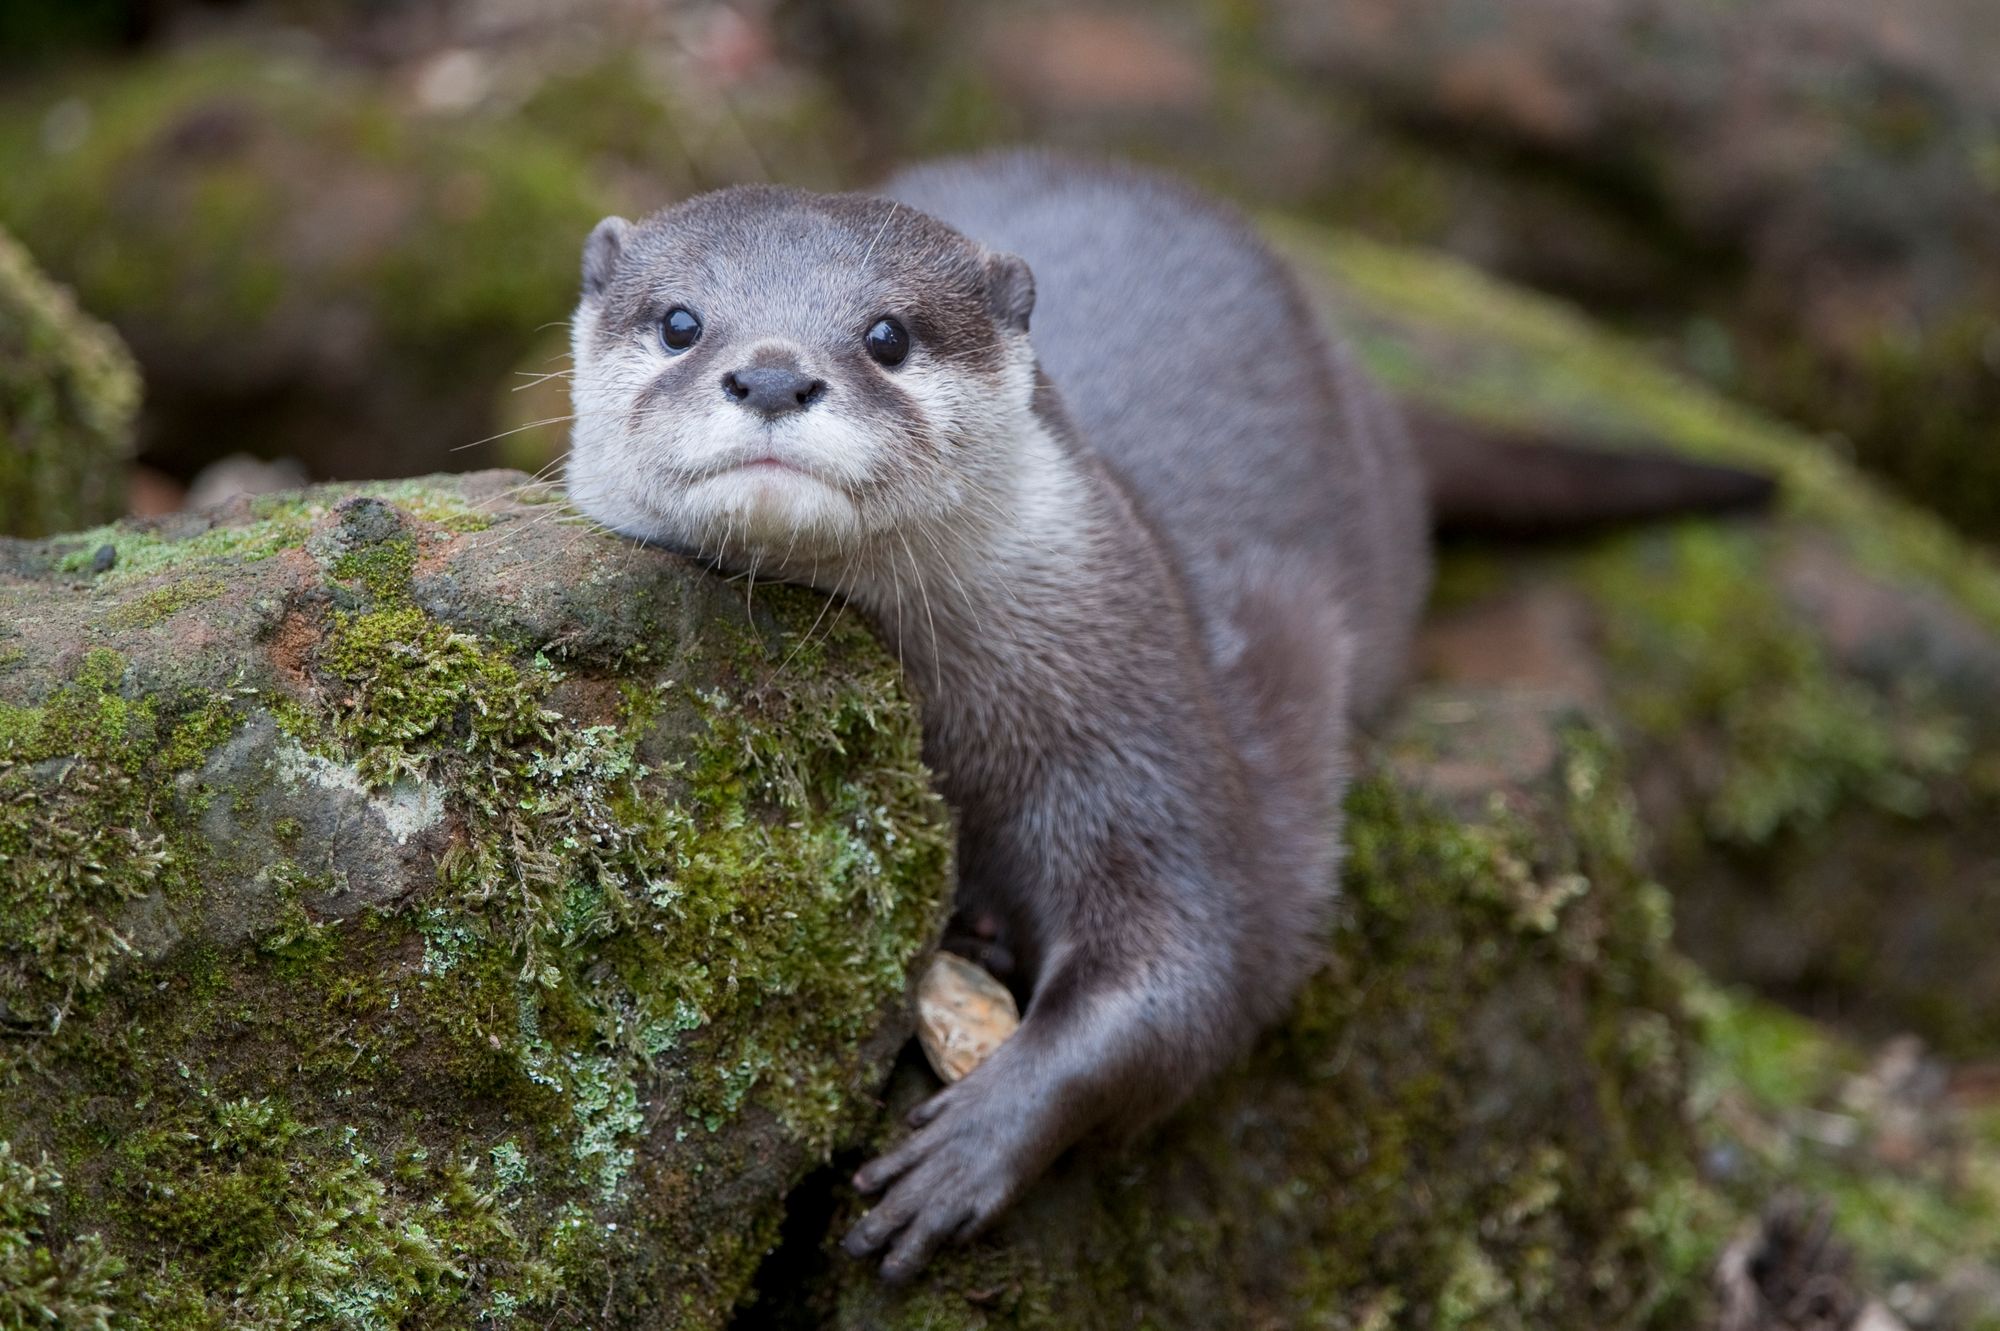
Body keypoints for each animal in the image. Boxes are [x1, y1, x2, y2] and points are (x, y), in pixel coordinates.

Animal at [564, 152, 1768, 1281]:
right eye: (681, 322)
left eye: (887, 335)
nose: (772, 372)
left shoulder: (1144, 719)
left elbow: (1203, 952)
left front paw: (974, 1141)